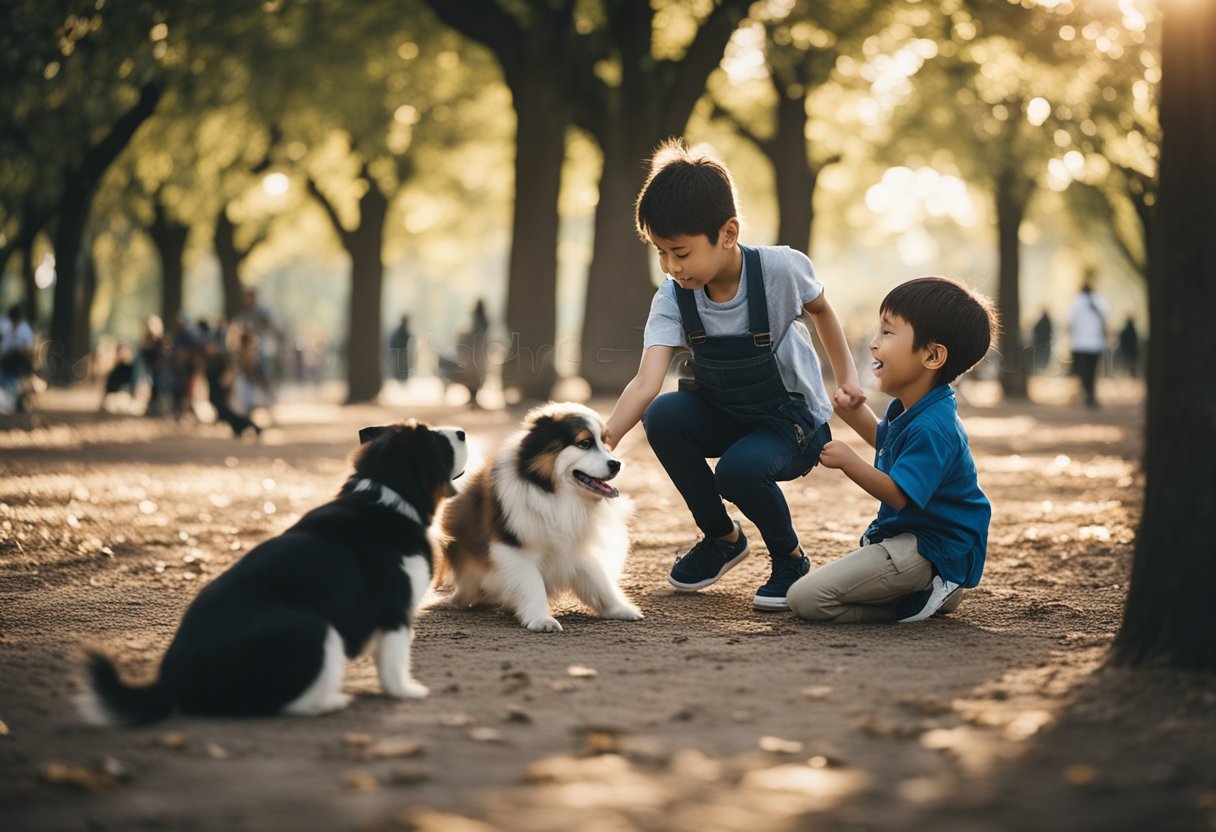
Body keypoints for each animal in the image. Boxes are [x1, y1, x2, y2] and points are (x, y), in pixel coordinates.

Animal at [77, 418, 464, 724]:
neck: (386, 497)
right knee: (280, 705)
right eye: (438, 441)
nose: (461, 431)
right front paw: (407, 692)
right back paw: (330, 702)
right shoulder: (395, 612)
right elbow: (394, 663)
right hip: (316, 629)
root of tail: (172, 682)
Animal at [440, 403, 646, 632]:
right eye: (584, 443)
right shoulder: (512, 547)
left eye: (605, 442)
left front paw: (619, 608)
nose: (616, 464)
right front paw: (540, 619)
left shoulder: (577, 548)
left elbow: (599, 582)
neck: (557, 493)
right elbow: (532, 583)